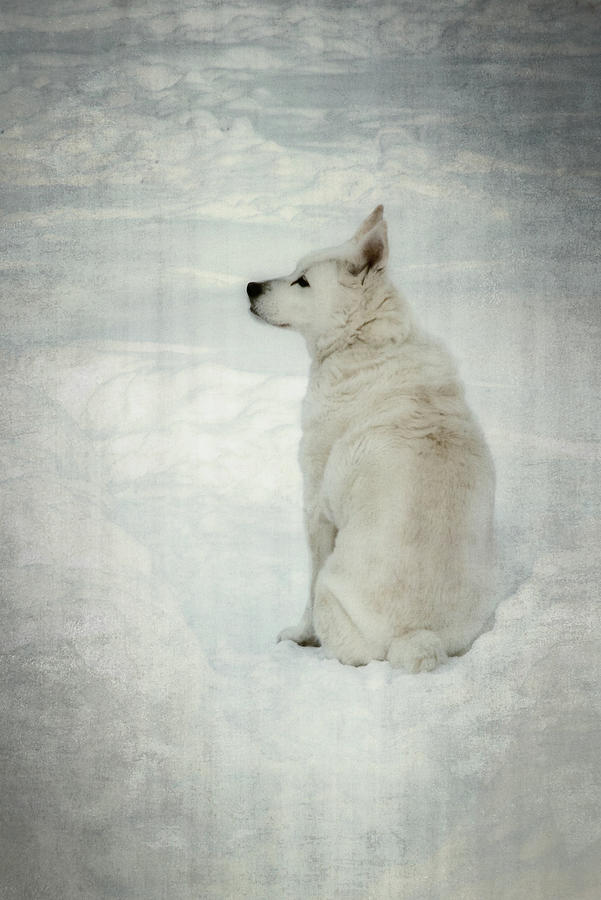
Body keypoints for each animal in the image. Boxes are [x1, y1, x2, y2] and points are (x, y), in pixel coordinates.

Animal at [246, 204, 494, 668]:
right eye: (294, 271)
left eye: (303, 281)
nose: (250, 287)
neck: (363, 341)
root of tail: (418, 636)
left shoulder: (316, 507)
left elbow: (307, 588)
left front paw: (298, 636)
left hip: (333, 594)